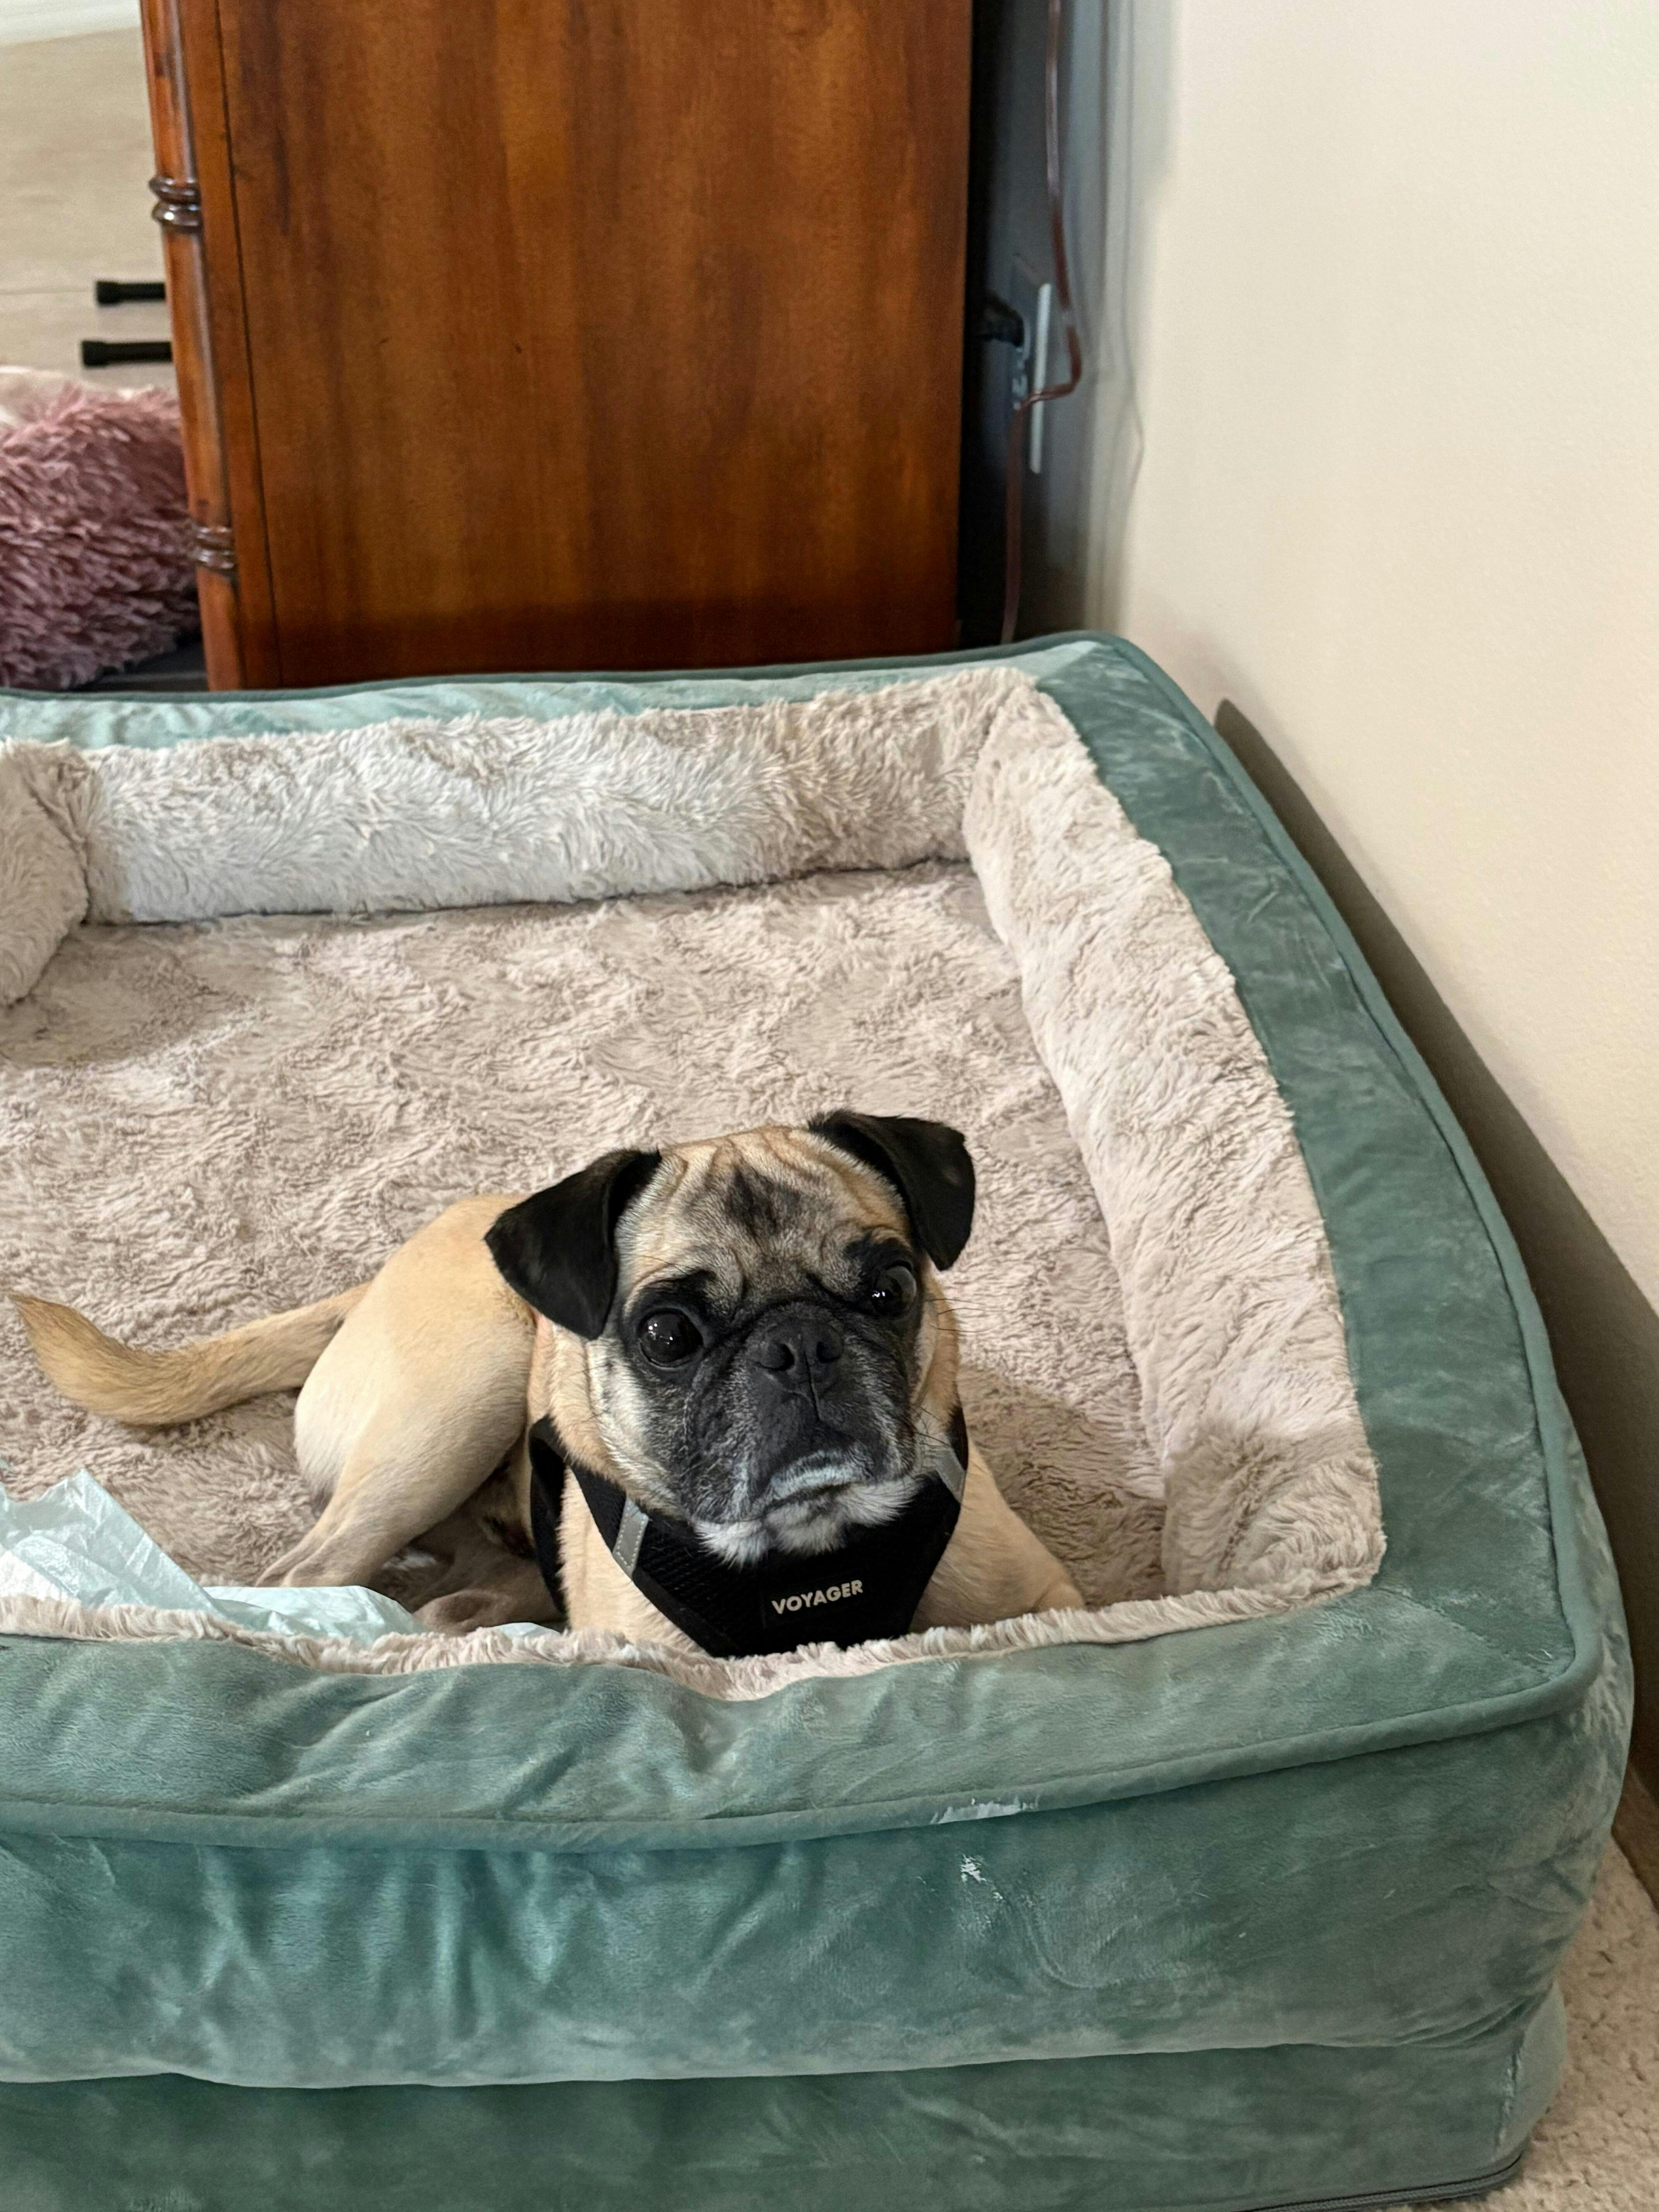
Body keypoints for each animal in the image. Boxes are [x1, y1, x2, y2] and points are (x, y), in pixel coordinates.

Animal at [14, 1114, 1082, 1657]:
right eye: (668, 1334)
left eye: (890, 1289)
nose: (799, 1347)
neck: (809, 1551)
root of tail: (366, 1290)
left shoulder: (1049, 1599)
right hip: (458, 1406)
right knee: (301, 1580)